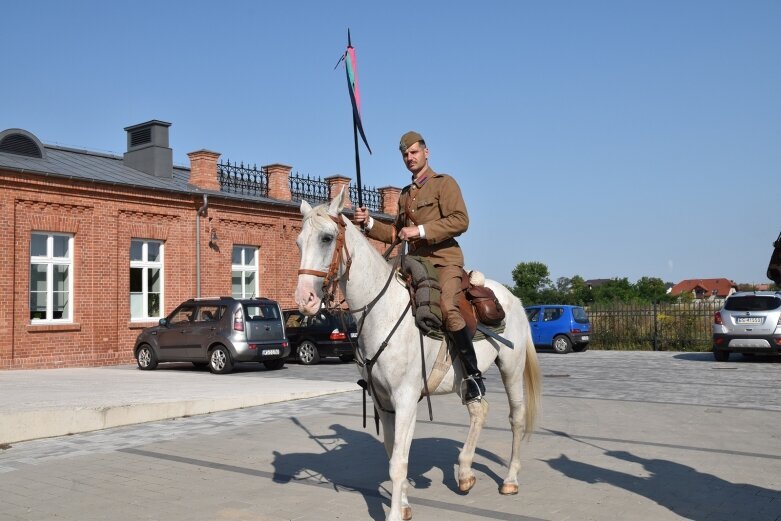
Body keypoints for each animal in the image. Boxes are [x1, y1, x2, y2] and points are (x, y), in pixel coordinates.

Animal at [294, 191, 544, 520]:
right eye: (298, 242)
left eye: (326, 238)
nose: (304, 300)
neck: (381, 310)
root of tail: (513, 298)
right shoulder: (383, 401)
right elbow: (392, 452)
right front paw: (403, 506)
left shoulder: (405, 399)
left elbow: (398, 462)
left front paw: (394, 514)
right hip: (466, 379)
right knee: (479, 409)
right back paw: (464, 473)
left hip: (511, 367)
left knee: (516, 418)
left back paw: (510, 479)